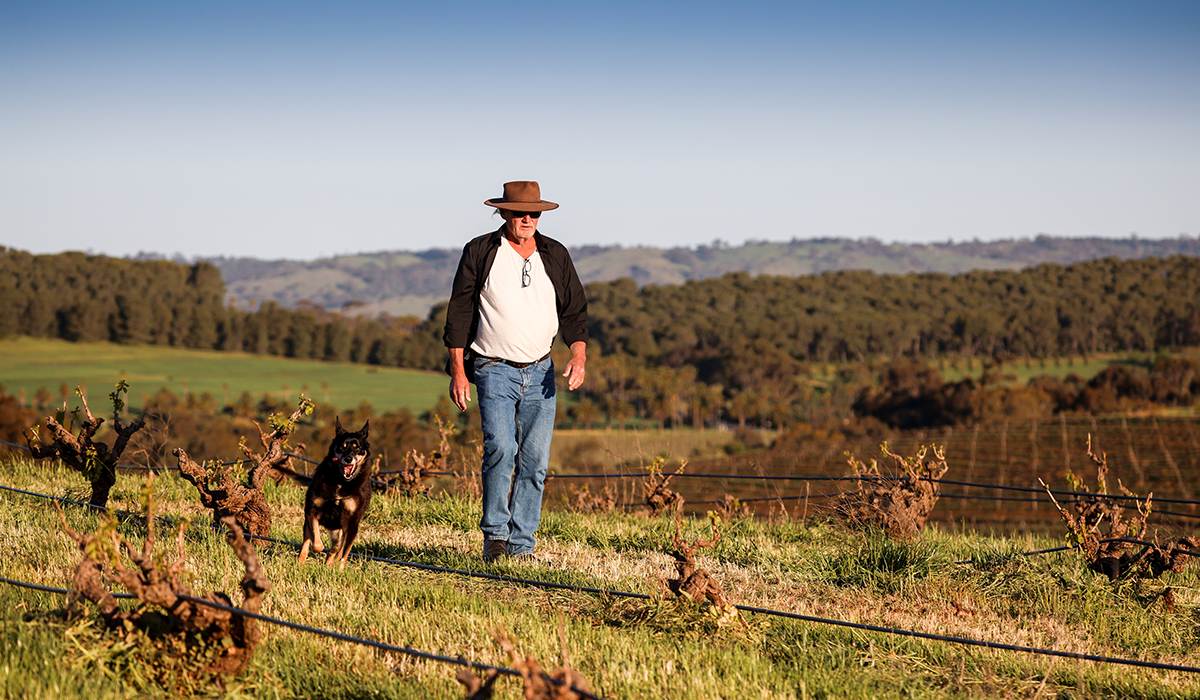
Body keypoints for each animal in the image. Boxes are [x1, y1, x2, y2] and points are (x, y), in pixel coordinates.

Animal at [276, 415, 369, 569]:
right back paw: (301, 562)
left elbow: (342, 551)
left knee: (338, 548)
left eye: (357, 448)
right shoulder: (312, 510)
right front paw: (317, 551)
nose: (348, 459)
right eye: (341, 447)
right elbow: (316, 543)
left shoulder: (352, 522)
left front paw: (336, 565)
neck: (340, 481)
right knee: (308, 541)